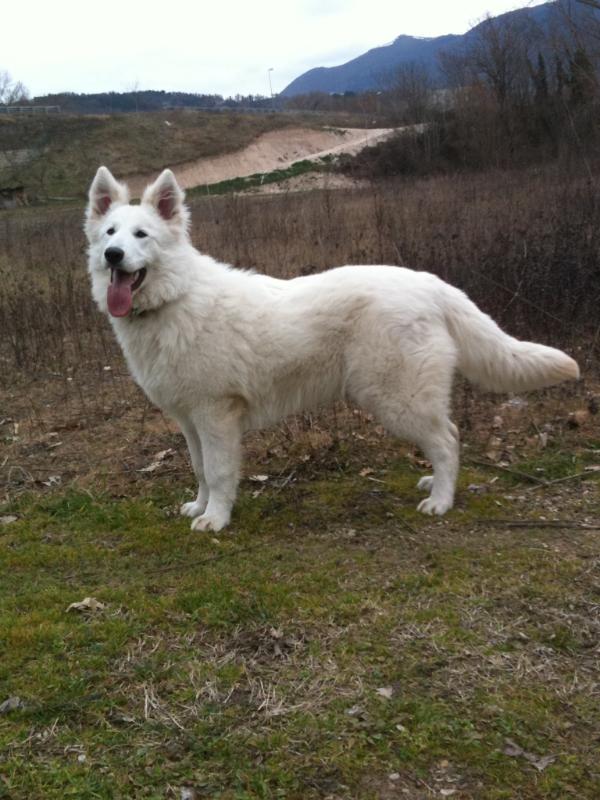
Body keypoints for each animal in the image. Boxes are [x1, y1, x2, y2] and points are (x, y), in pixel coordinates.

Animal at [85, 167, 580, 532]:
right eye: (110, 232)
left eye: (142, 235)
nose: (112, 255)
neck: (174, 299)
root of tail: (431, 283)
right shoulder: (189, 420)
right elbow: (201, 469)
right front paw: (200, 506)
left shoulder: (216, 415)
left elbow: (221, 472)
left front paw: (217, 519)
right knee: (447, 438)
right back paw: (434, 485)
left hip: (397, 398)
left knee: (448, 439)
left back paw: (441, 500)